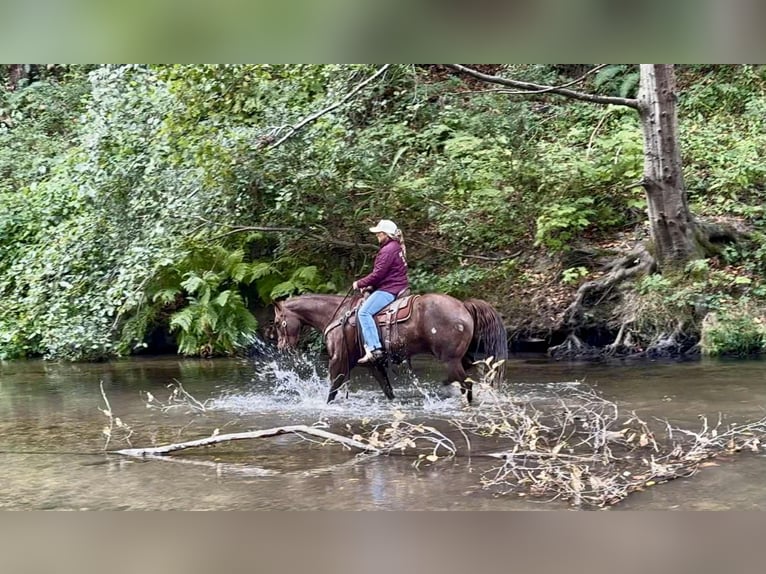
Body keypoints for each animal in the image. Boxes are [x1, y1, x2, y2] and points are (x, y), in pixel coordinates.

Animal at [273, 292, 507, 404]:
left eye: (277, 322)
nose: (282, 347)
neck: (336, 314)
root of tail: (463, 305)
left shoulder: (338, 360)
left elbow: (333, 390)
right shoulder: (373, 365)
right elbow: (387, 390)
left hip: (449, 359)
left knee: (465, 383)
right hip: (461, 357)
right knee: (468, 377)